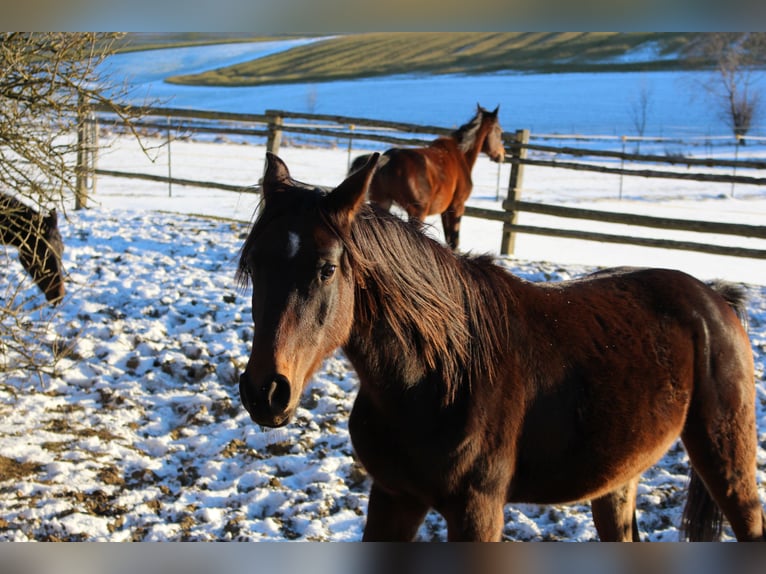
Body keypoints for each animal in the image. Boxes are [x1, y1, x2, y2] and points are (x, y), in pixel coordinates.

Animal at [236, 152, 764, 542]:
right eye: (255, 263)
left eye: (327, 269)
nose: (266, 392)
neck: (438, 376)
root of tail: (716, 298)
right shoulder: (393, 497)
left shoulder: (477, 510)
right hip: (617, 479)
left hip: (727, 457)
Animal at [349, 104, 505, 250]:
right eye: (499, 131)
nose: (502, 154)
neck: (461, 155)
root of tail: (386, 159)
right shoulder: (457, 207)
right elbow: (454, 242)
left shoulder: (445, 211)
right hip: (417, 212)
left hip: (382, 203)